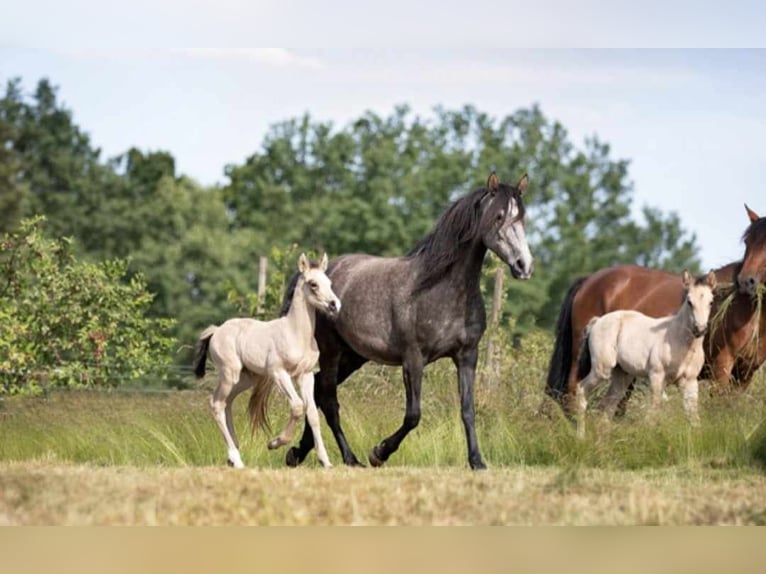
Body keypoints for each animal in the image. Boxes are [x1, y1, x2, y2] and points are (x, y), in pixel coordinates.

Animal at [195, 254, 342, 470]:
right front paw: (274, 443)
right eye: (313, 284)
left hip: (246, 379)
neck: (296, 333)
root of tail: (216, 330)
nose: (334, 305)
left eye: (330, 283)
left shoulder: (305, 375)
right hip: (230, 374)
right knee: (217, 404)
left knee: (227, 403)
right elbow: (297, 406)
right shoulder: (279, 373)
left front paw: (326, 461)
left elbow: (312, 414)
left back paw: (233, 454)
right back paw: (236, 459)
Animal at [280, 173, 536, 470]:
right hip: (331, 351)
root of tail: (315, 274)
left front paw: (477, 461)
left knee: (321, 391)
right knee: (330, 400)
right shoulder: (413, 359)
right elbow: (413, 415)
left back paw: (297, 452)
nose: (523, 266)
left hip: (354, 356)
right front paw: (379, 453)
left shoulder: (467, 356)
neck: (440, 288)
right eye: (499, 216)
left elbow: (467, 410)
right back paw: (351, 459)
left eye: (522, 218)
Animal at [544, 205, 766, 416]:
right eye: (747, 242)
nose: (746, 282)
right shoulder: (722, 367)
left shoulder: (745, 373)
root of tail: (588, 280)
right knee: (572, 394)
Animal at [576, 270, 720, 436]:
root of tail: (597, 321)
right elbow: (654, 412)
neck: (679, 340)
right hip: (602, 370)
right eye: (689, 302)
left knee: (607, 407)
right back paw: (580, 437)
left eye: (711, 302)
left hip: (622, 375)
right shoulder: (656, 376)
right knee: (581, 391)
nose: (700, 329)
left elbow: (693, 417)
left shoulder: (689, 381)